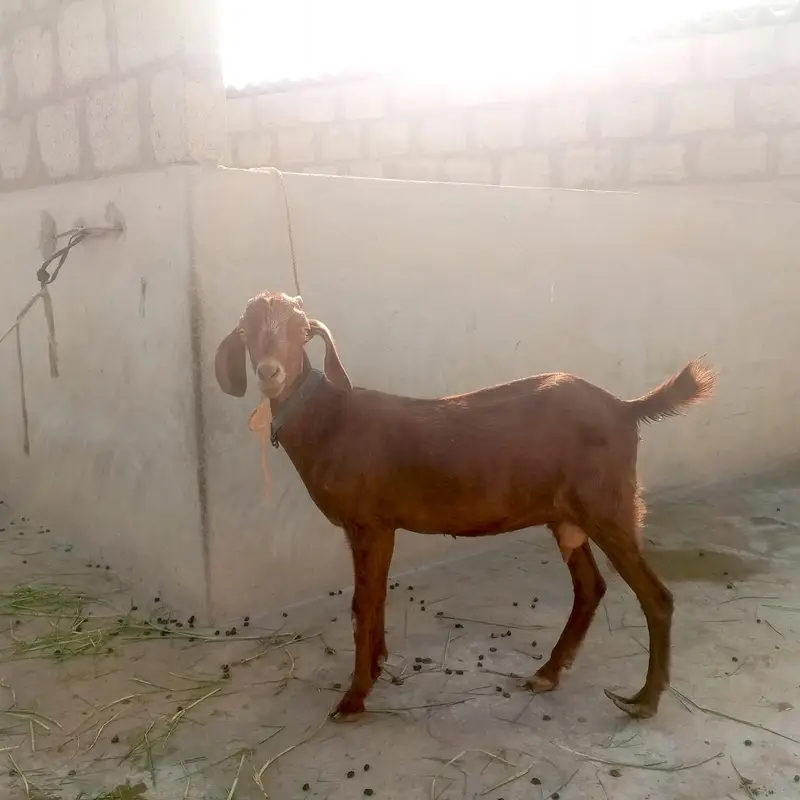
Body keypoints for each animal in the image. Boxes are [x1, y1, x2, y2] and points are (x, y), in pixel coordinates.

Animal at [215, 291, 716, 720]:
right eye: (245, 331)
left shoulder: (368, 522)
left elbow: (363, 603)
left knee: (657, 597)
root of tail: (625, 408)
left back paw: (644, 700)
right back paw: (548, 673)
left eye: (300, 331)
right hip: (565, 515)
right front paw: (376, 666)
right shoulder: (381, 526)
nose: (269, 372)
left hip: (608, 505)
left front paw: (354, 697)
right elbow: (375, 599)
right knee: (591, 587)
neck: (331, 421)